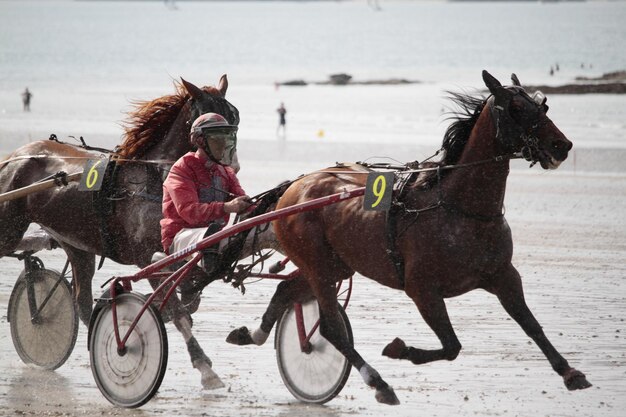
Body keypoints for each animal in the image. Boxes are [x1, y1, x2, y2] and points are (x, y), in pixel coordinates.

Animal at [0, 74, 238, 386]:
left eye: (234, 117)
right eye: (213, 118)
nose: (232, 164)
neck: (155, 179)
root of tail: (14, 157)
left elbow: (189, 299)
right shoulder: (146, 256)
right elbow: (178, 312)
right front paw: (205, 368)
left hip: (78, 244)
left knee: (82, 301)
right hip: (10, 227)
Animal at [229, 70, 588, 404]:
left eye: (543, 104)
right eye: (516, 107)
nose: (562, 145)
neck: (459, 208)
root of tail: (295, 187)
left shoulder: (503, 275)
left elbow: (531, 324)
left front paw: (570, 372)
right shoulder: (422, 288)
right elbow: (452, 346)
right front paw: (400, 349)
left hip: (334, 265)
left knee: (287, 291)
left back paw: (252, 334)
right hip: (317, 264)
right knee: (331, 327)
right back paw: (378, 382)